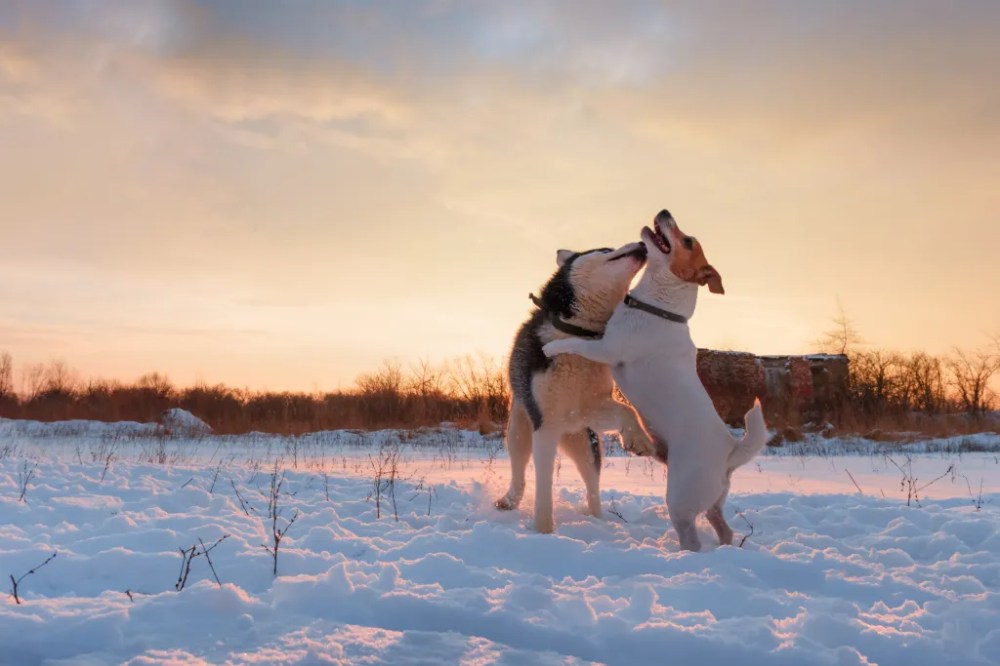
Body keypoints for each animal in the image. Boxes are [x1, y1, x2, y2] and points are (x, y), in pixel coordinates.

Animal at [498, 241, 656, 532]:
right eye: (606, 249)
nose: (642, 244)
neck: (577, 336)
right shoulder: (545, 425)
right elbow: (543, 488)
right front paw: (543, 531)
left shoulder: (588, 409)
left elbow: (627, 410)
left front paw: (638, 438)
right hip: (519, 431)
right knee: (519, 471)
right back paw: (509, 500)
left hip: (585, 443)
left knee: (592, 484)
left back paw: (598, 521)